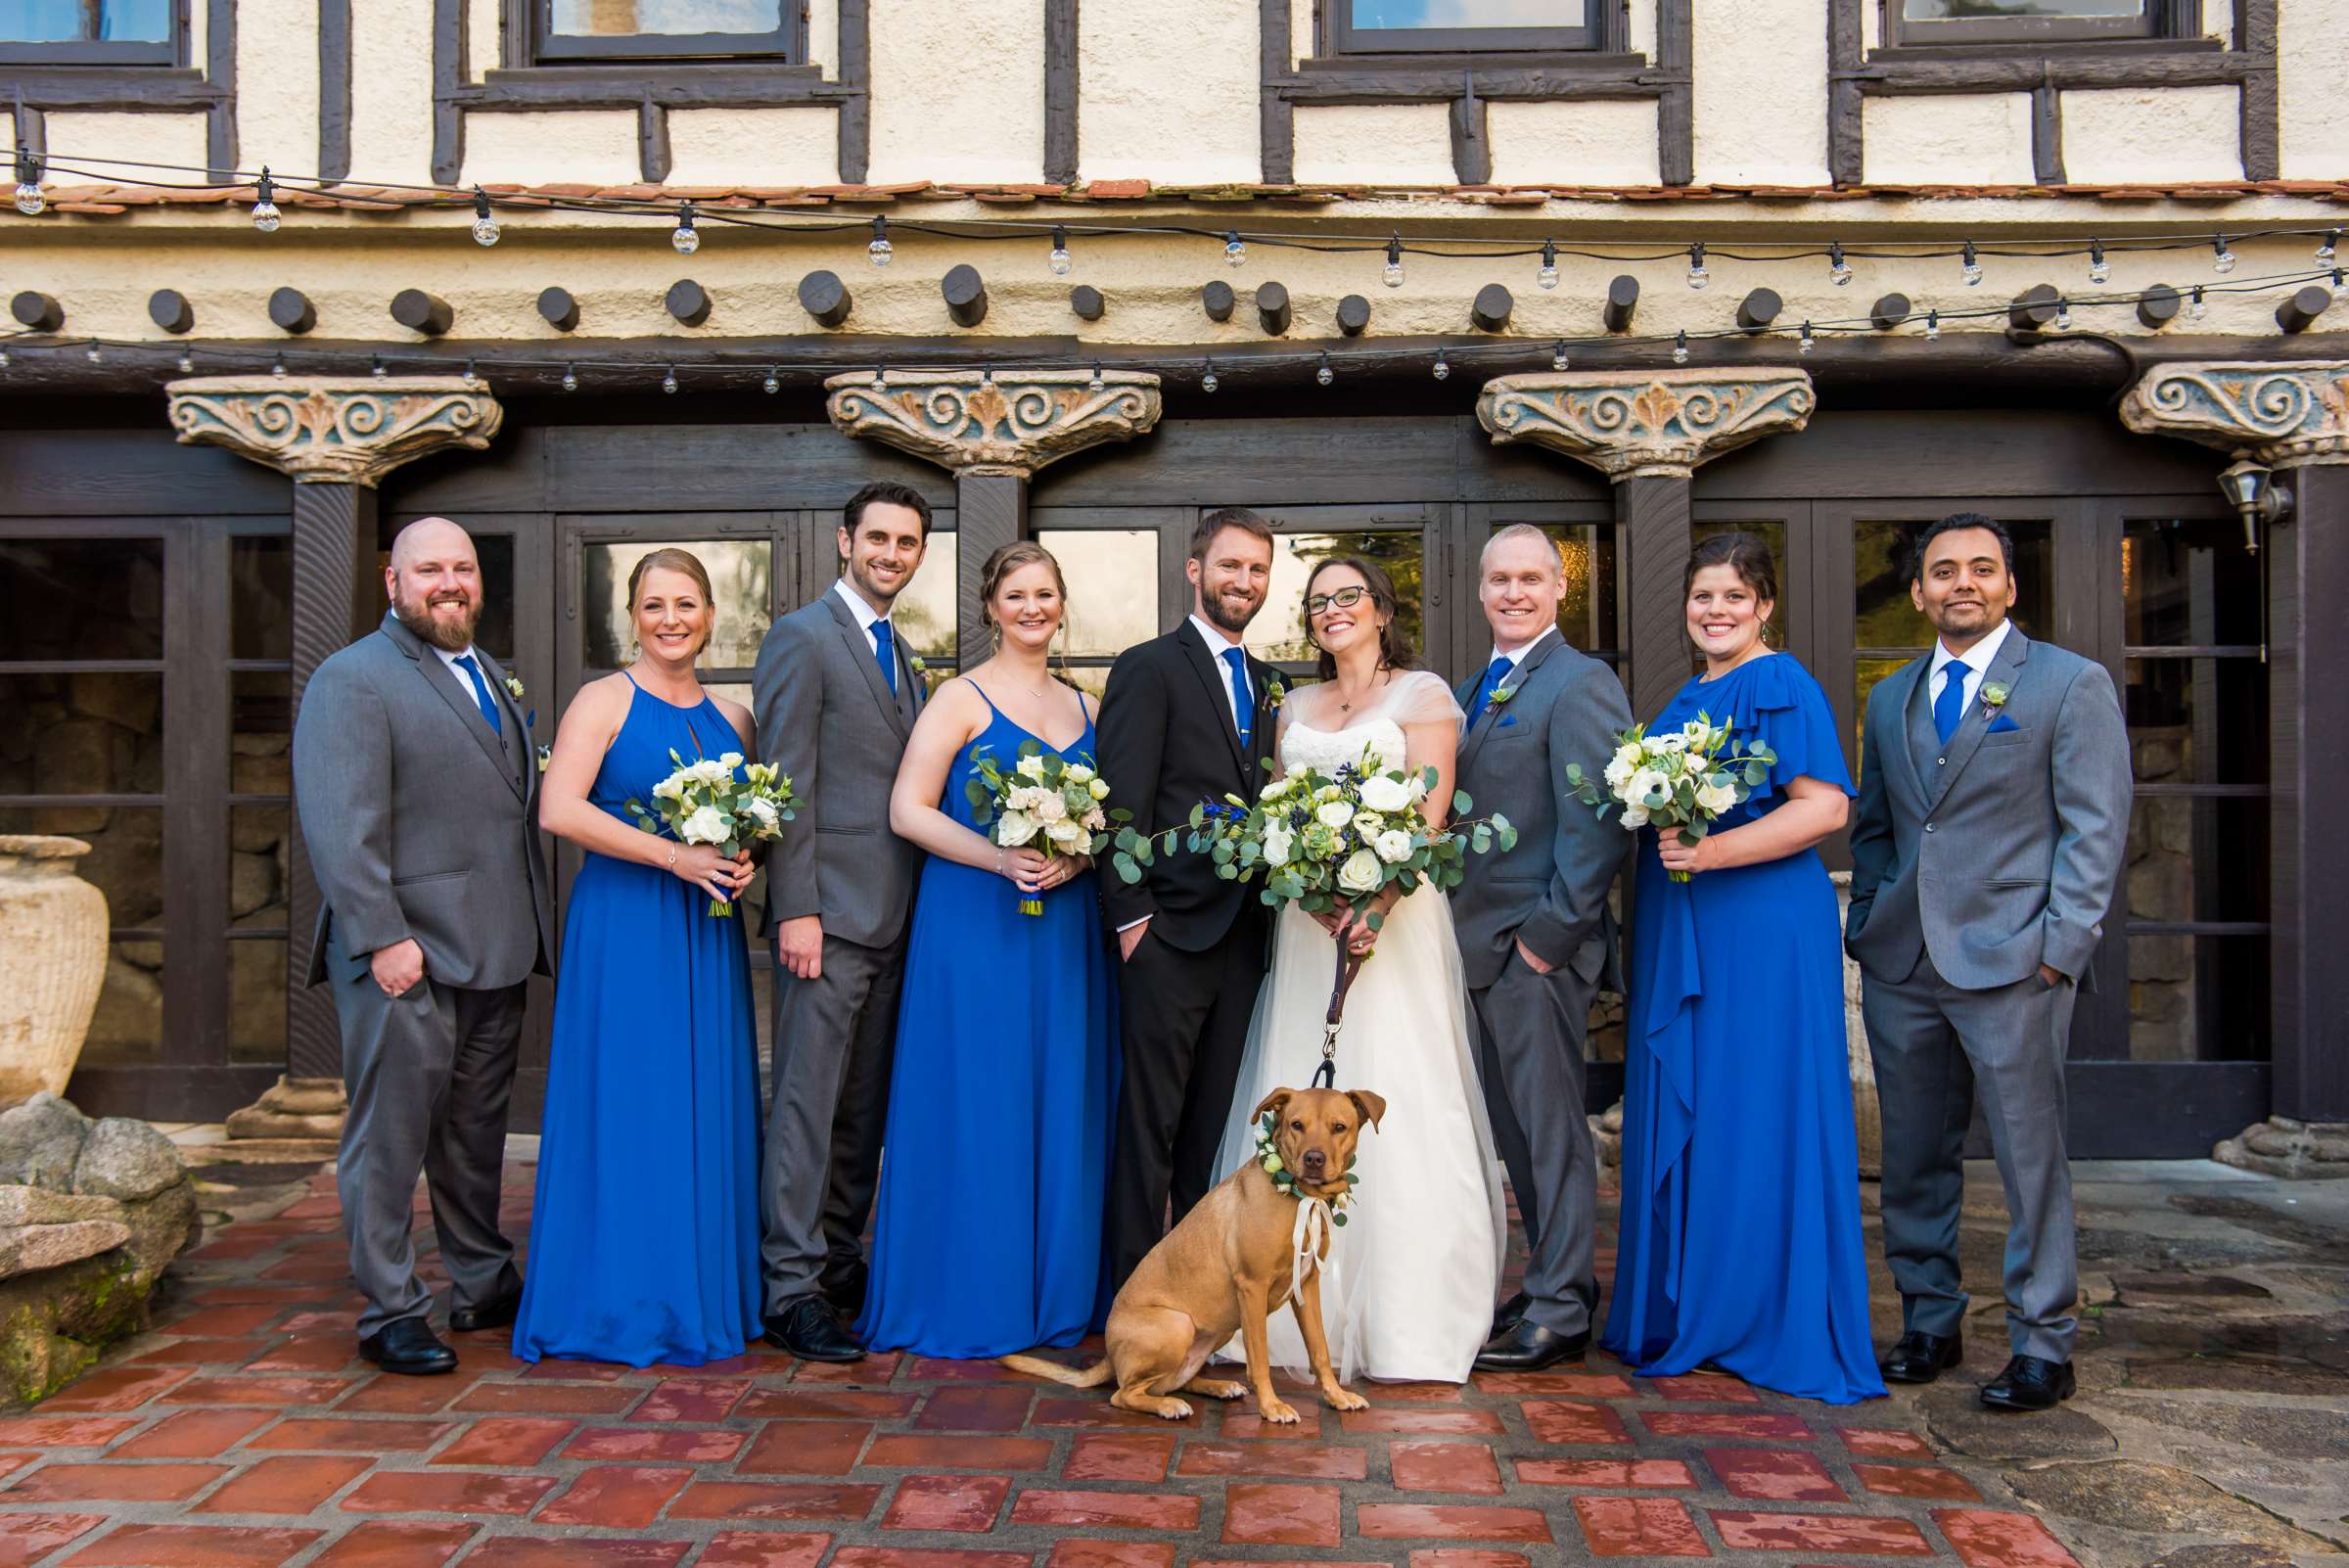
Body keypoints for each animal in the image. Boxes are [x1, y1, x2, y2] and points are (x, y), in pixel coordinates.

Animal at [1005, 1084, 1371, 1427]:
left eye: (1339, 1127)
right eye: (1297, 1125)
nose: (1314, 1159)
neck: (1300, 1198)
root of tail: (1108, 1354)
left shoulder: (1305, 1286)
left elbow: (1320, 1350)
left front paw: (1337, 1396)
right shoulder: (1252, 1287)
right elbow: (1260, 1360)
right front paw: (1271, 1407)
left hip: (1220, 1327)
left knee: (1173, 1380)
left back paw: (1218, 1387)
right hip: (1178, 1324)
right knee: (1124, 1394)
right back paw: (1168, 1406)